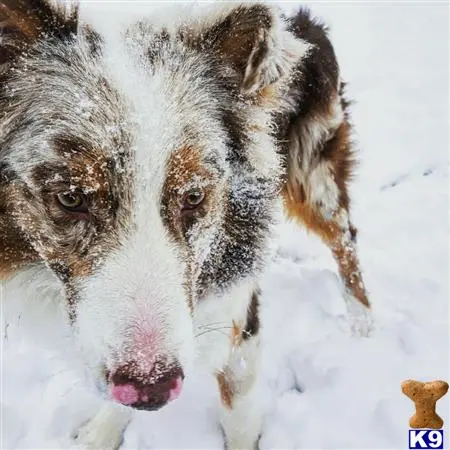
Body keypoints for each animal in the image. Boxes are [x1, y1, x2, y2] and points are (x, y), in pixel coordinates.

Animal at [0, 1, 372, 448]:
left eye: (194, 196)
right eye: (70, 197)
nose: (152, 388)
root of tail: (305, 21)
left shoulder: (237, 314)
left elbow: (238, 410)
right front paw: (102, 432)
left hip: (313, 173)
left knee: (345, 238)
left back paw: (362, 321)